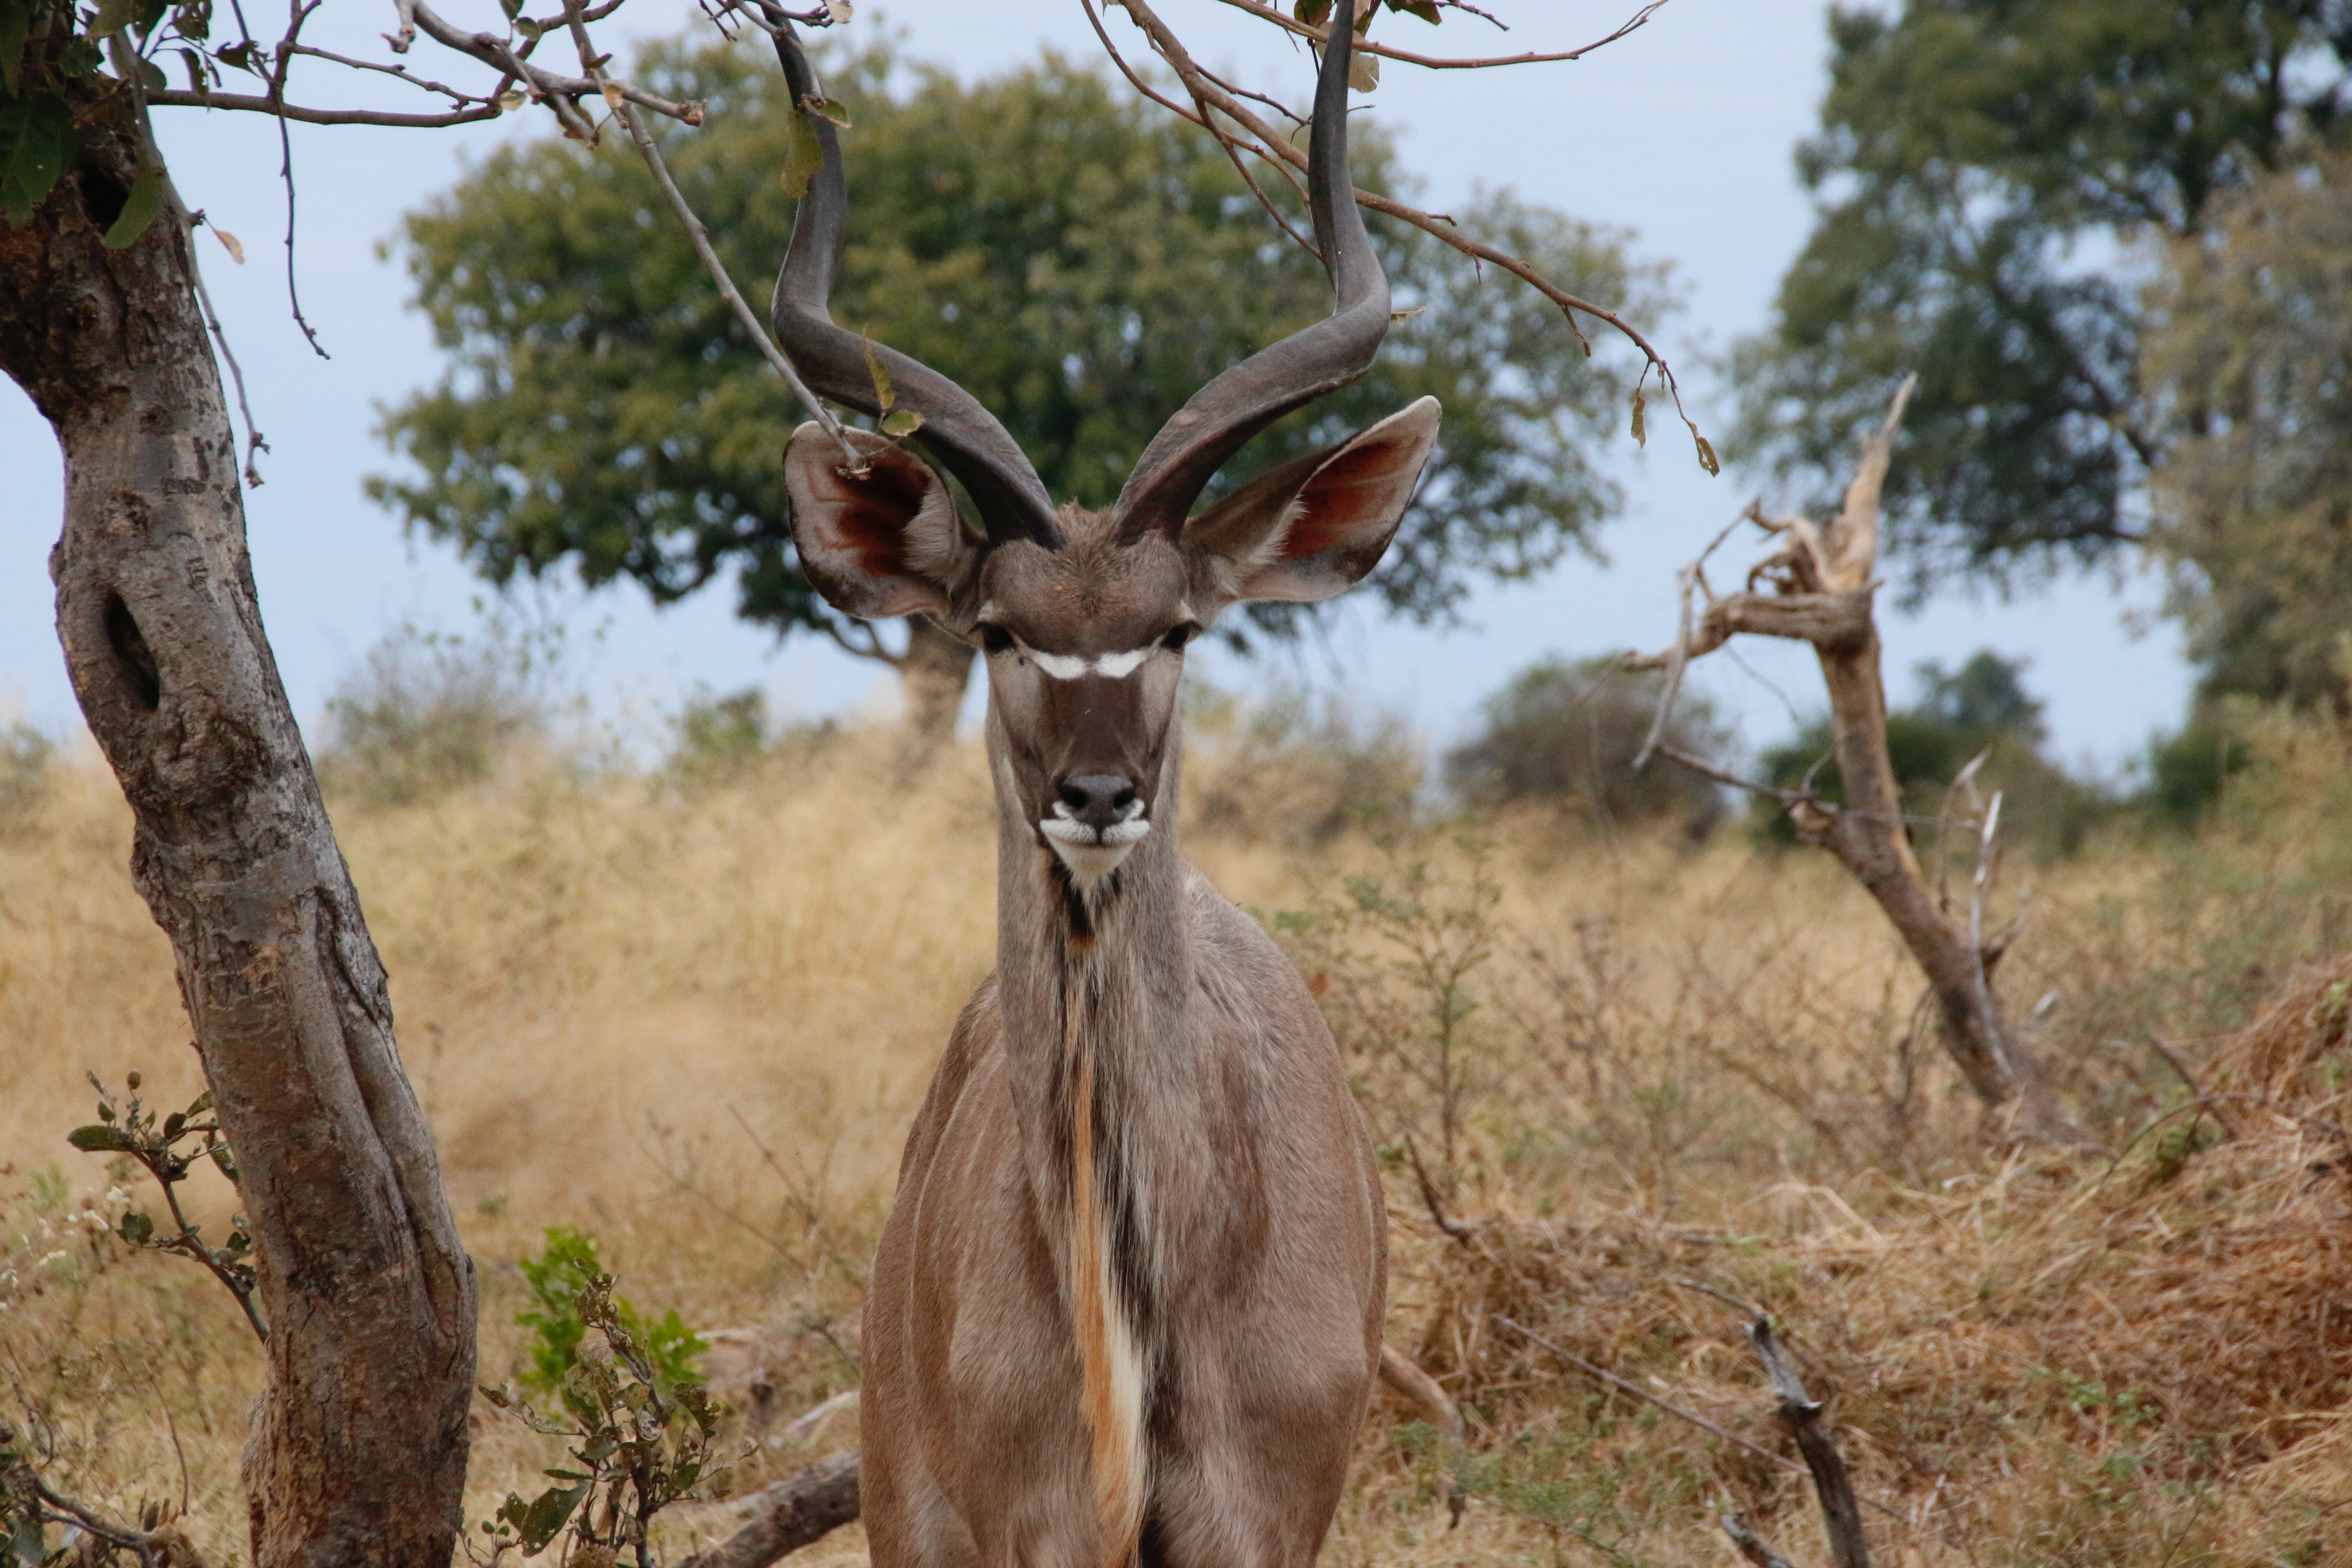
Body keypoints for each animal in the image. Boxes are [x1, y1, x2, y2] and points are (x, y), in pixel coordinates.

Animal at [769, 6, 1436, 1563]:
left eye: (1179, 626)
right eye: (1001, 631)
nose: (1095, 796)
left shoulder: (1263, 1517)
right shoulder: (1036, 1523)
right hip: (907, 1501)